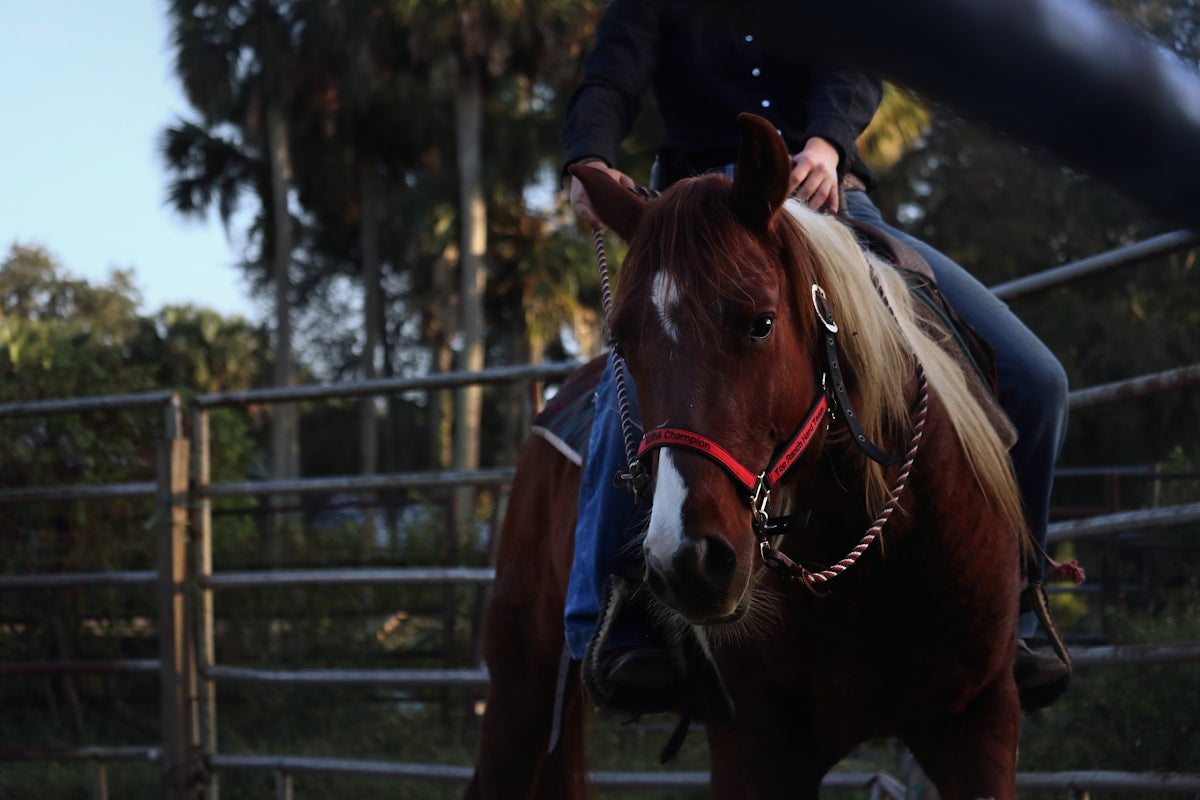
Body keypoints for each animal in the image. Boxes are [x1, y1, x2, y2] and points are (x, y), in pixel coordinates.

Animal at [465, 113, 1028, 800]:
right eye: (622, 339)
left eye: (760, 323)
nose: (686, 561)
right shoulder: (758, 745)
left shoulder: (980, 721)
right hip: (520, 684)